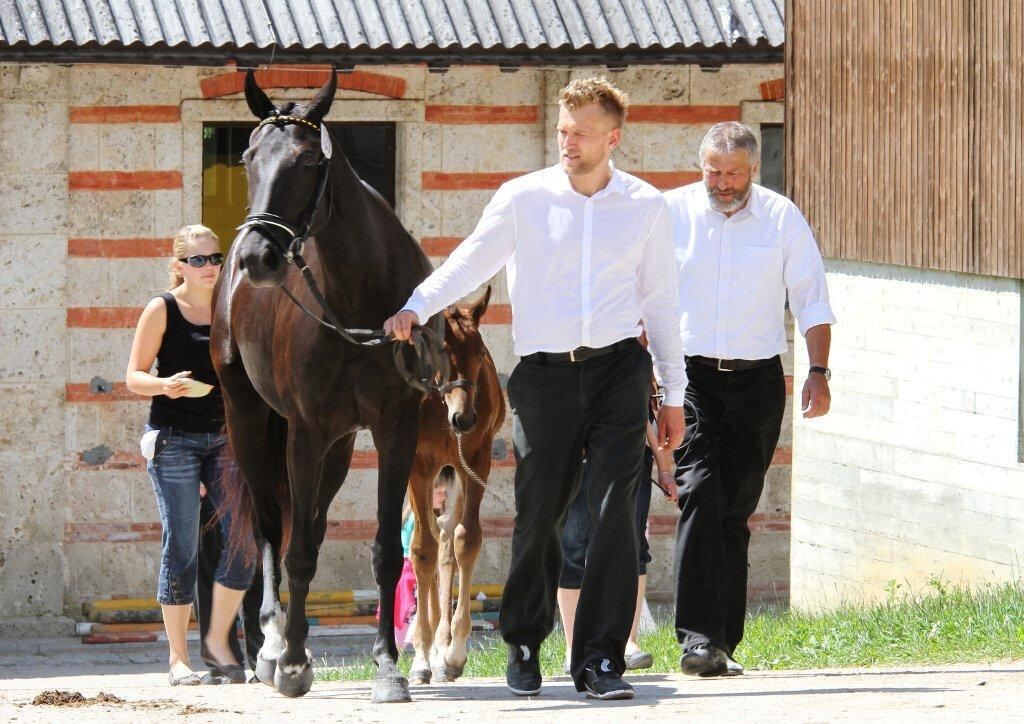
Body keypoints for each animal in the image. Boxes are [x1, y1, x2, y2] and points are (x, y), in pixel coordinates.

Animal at [214, 70, 438, 700]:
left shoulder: (393, 429)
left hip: (337, 447)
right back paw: (270, 646)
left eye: (308, 160)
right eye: (248, 157)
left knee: (307, 524)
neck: (358, 301)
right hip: (252, 422)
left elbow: (385, 550)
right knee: (272, 527)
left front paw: (387, 666)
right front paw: (289, 662)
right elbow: (295, 552)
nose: (258, 257)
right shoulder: (306, 432)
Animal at [405, 288, 505, 684]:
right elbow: (422, 551)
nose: (465, 419)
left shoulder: (475, 460)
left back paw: (441, 647)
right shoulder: (417, 466)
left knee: (446, 542)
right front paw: (421, 658)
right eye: (442, 353)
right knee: (430, 542)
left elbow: (466, 540)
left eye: (480, 353)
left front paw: (454, 652)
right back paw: (428, 651)